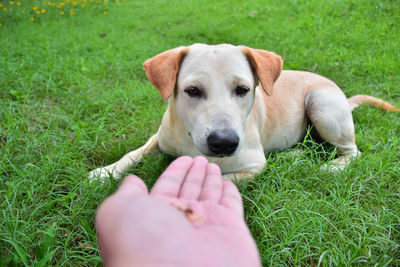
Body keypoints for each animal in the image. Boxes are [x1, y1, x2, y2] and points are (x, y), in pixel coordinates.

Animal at [89, 44, 398, 181]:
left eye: (242, 89)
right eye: (192, 91)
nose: (224, 143)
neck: (189, 139)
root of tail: (342, 95)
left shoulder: (252, 165)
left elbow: (221, 177)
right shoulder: (159, 138)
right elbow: (134, 153)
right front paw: (106, 172)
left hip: (321, 104)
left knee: (352, 150)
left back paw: (333, 166)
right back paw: (294, 154)